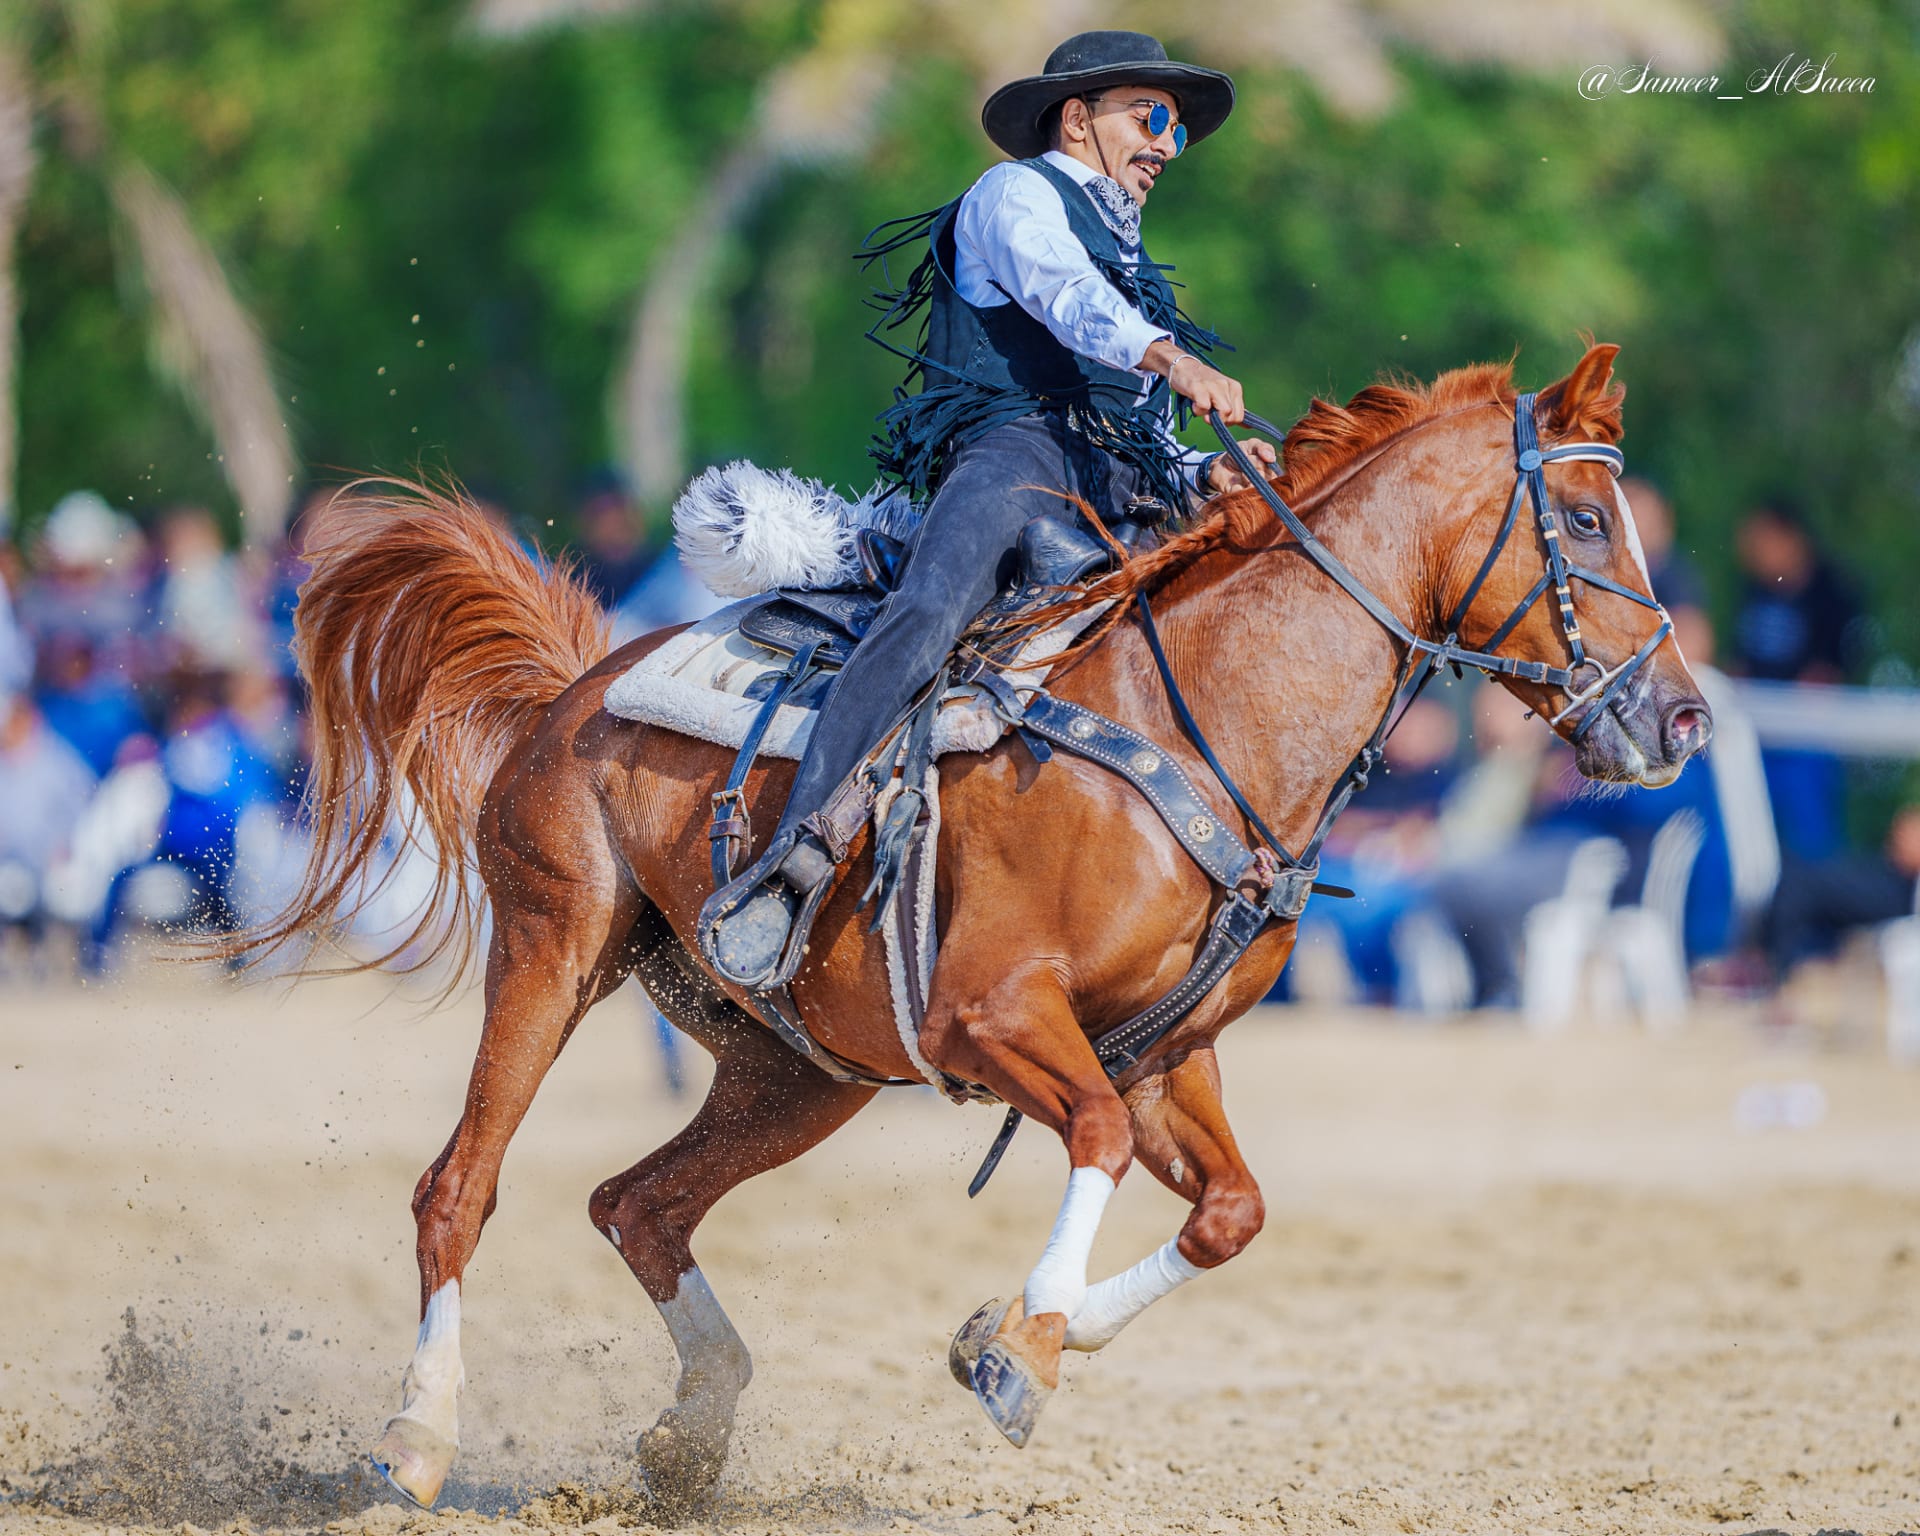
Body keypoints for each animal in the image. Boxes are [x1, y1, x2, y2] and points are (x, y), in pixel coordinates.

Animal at [259, 341, 1712, 1505]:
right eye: (1588, 518)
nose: (1685, 720)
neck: (1201, 719)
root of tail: (575, 686)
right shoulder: (999, 1015)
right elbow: (1098, 1138)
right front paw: (1021, 1348)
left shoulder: (1169, 1052)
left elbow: (1230, 1210)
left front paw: (1007, 1332)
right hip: (553, 953)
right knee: (460, 1190)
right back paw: (416, 1440)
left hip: (799, 1071)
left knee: (640, 1205)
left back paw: (687, 1439)